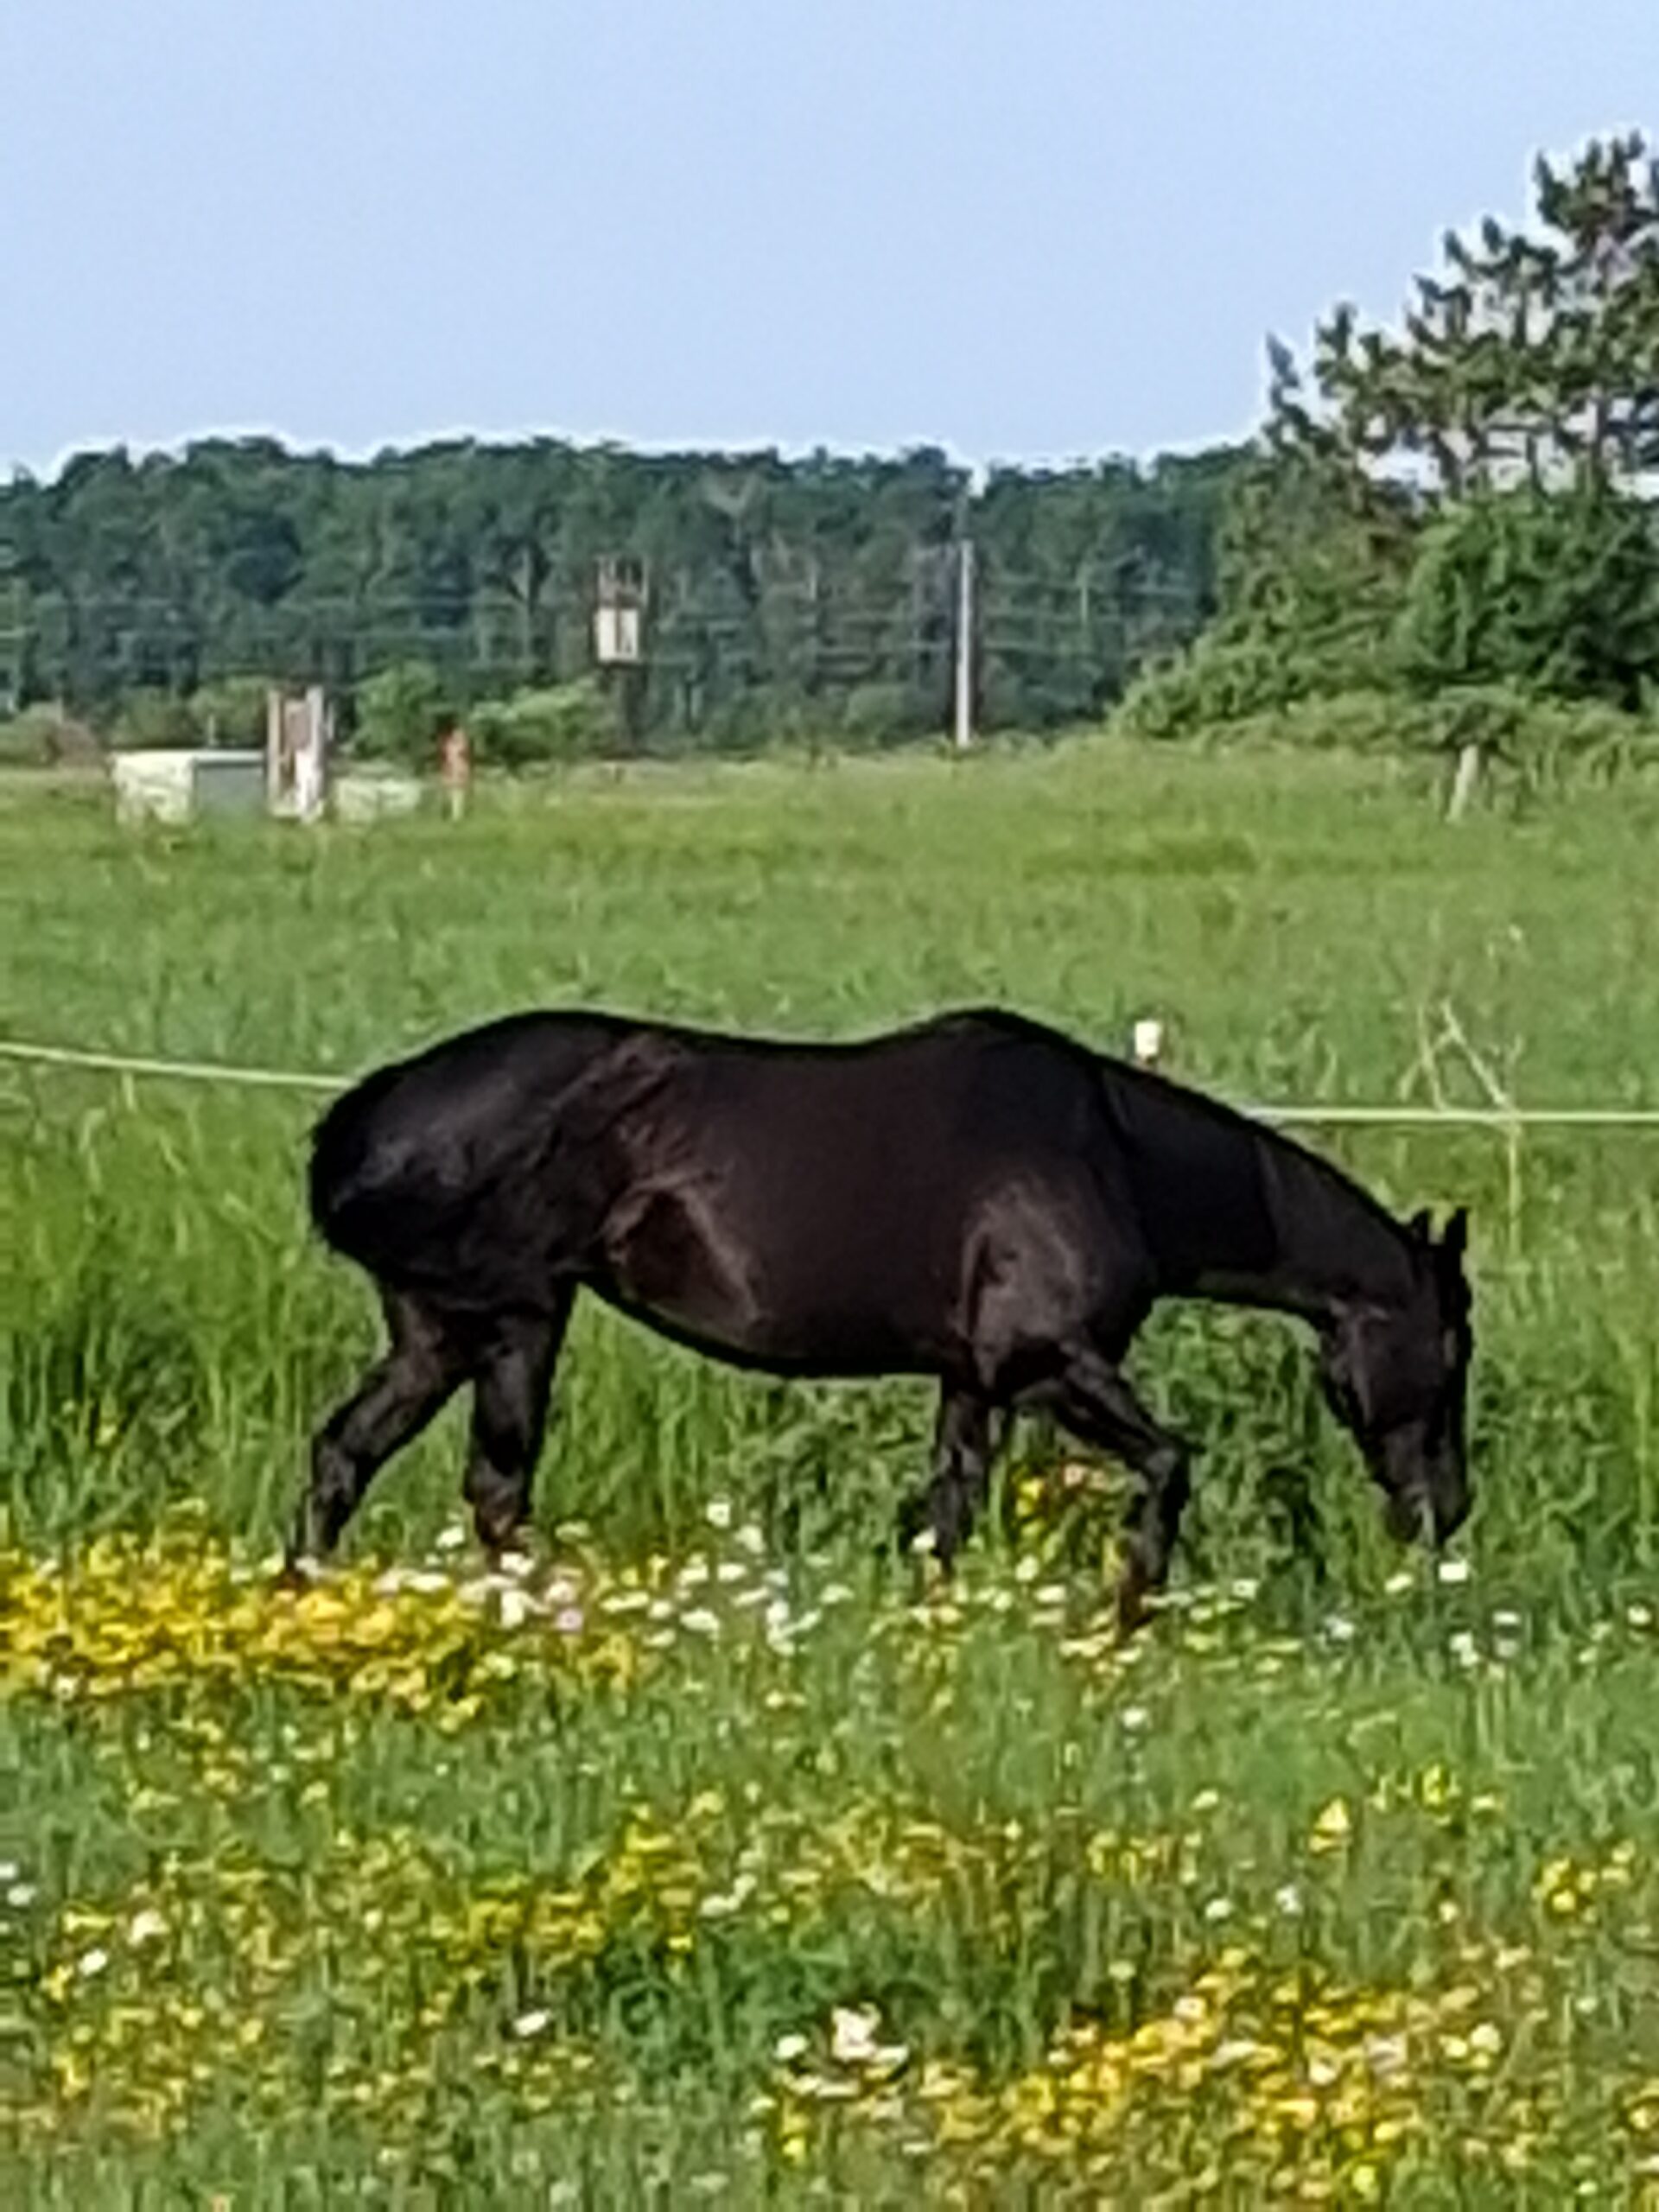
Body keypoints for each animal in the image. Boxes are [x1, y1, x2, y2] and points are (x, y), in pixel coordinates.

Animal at [290, 1005, 1473, 1628]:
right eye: (1453, 1349)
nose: (1445, 1508)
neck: (1114, 1154)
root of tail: (367, 1111)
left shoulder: (972, 1381)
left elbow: (945, 1516)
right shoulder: (1048, 1363)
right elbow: (1170, 1462)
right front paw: (1129, 1604)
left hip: (452, 1332)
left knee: (366, 1460)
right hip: (512, 1321)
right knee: (484, 1485)